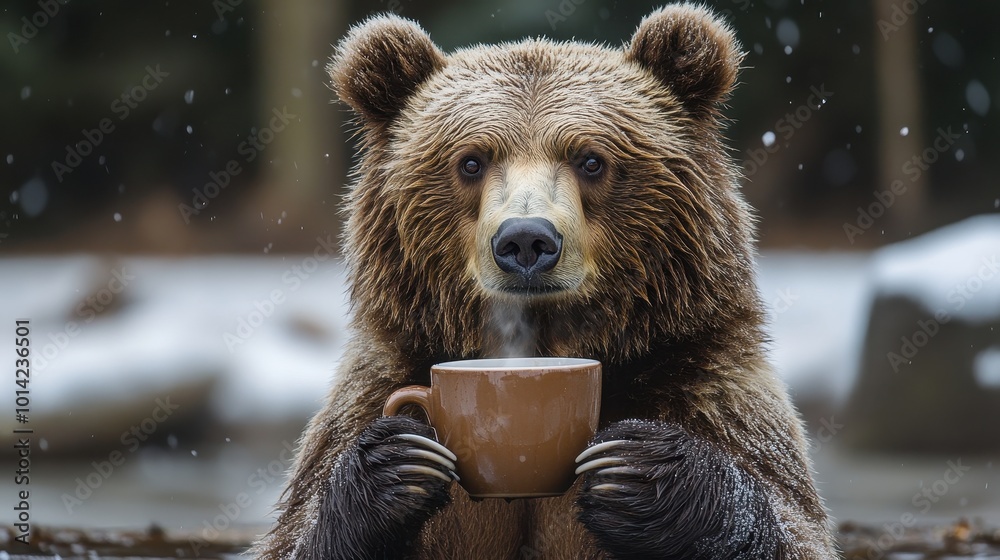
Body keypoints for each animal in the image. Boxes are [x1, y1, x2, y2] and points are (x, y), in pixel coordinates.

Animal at [252, 4, 837, 559]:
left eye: (591, 160)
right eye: (471, 161)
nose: (527, 241)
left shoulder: (707, 388)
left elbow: (792, 524)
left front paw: (644, 471)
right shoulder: (375, 382)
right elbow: (299, 530)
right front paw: (395, 466)